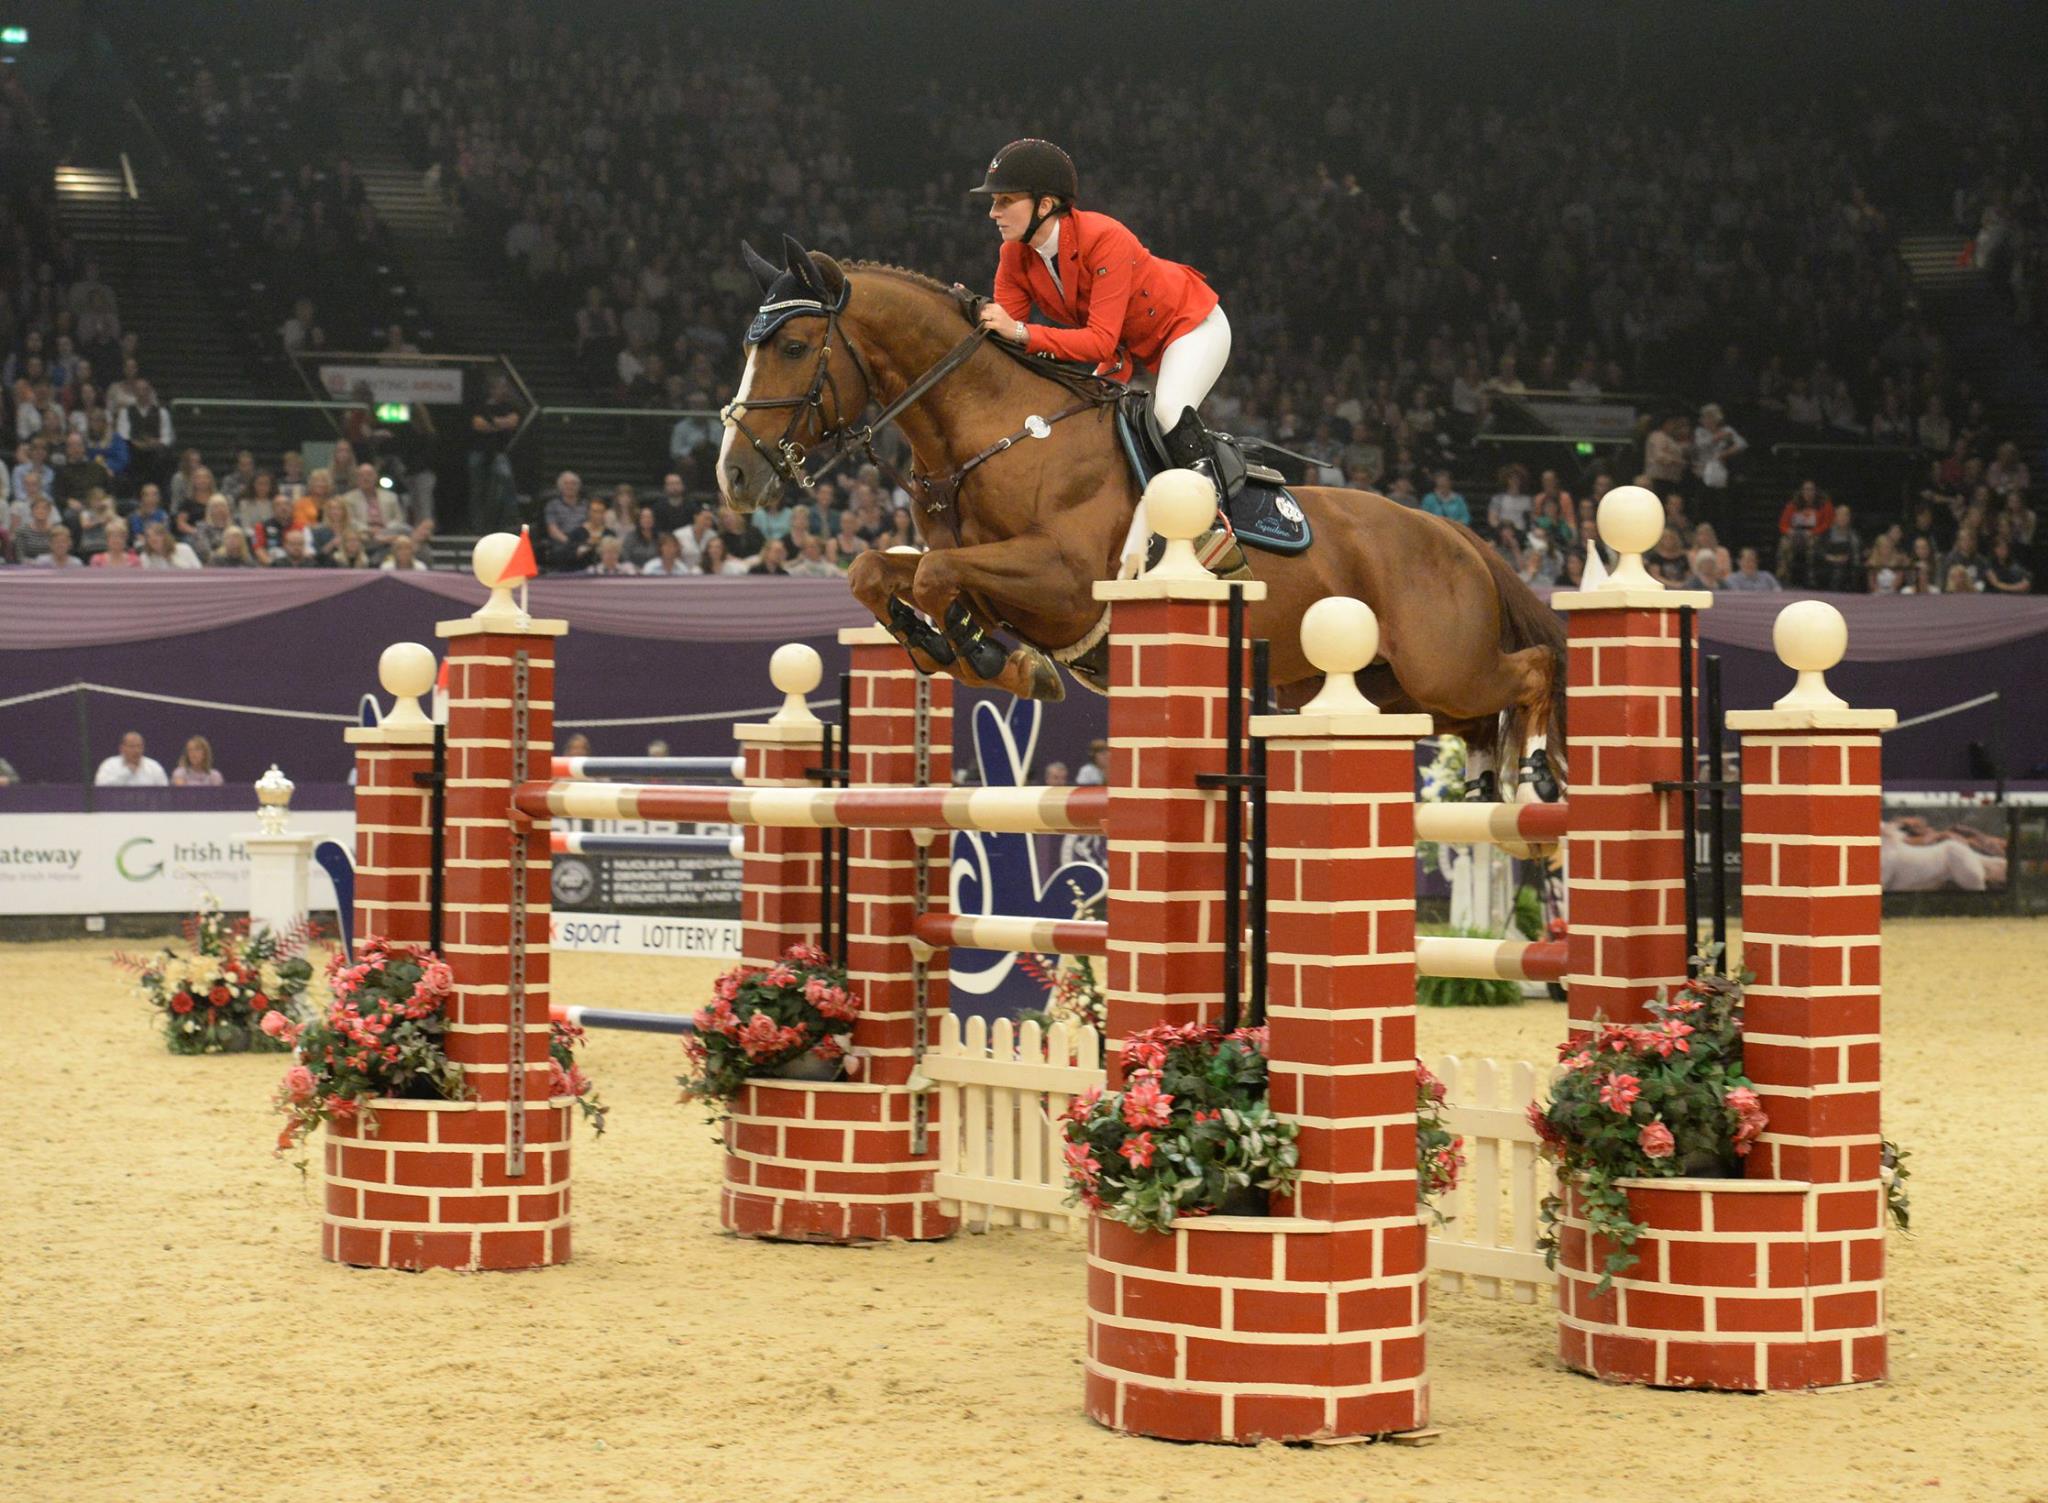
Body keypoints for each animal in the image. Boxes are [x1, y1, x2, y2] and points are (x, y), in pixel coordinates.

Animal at [712, 238, 1556, 790]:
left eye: (792, 346)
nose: (733, 475)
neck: (996, 430)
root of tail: (1457, 534)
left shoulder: (1062, 580)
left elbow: (936, 577)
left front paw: (985, 653)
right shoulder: (984, 572)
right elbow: (874, 569)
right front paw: (971, 651)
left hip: (1441, 664)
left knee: (1530, 672)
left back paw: (1539, 773)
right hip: (1388, 689)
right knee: (1476, 723)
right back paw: (1486, 784)